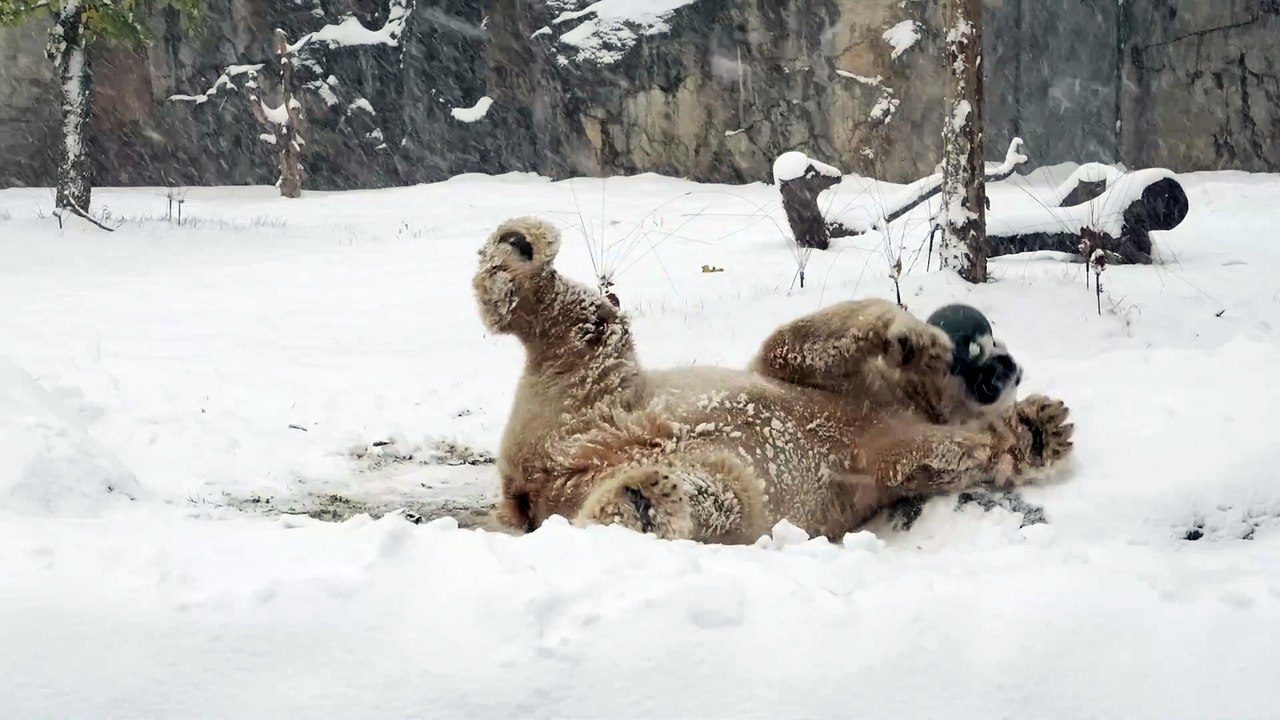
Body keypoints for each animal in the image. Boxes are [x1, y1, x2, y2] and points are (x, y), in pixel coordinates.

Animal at [473, 216, 1074, 544]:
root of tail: (533, 488)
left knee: (724, 493)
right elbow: (794, 345)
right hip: (593, 400)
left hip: (587, 410)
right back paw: (520, 249)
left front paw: (1042, 430)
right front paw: (911, 337)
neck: (906, 399)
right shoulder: (850, 386)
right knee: (592, 326)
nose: (1007, 365)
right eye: (985, 348)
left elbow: (936, 455)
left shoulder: (886, 453)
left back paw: (641, 504)